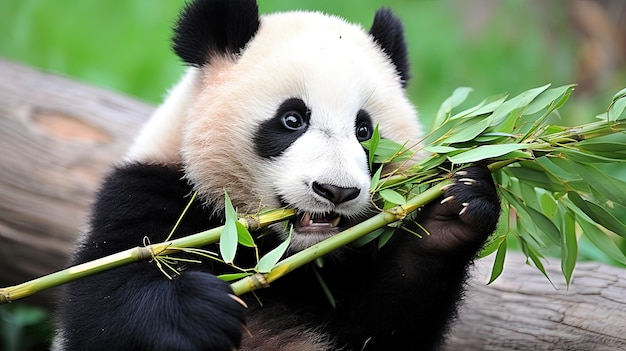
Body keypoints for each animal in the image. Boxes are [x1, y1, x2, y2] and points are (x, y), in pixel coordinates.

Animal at [54, 0, 502, 351]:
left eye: (364, 130)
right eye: (292, 119)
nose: (335, 191)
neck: (279, 251)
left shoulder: (350, 264)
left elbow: (386, 326)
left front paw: (457, 205)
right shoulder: (152, 193)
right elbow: (103, 308)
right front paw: (195, 308)